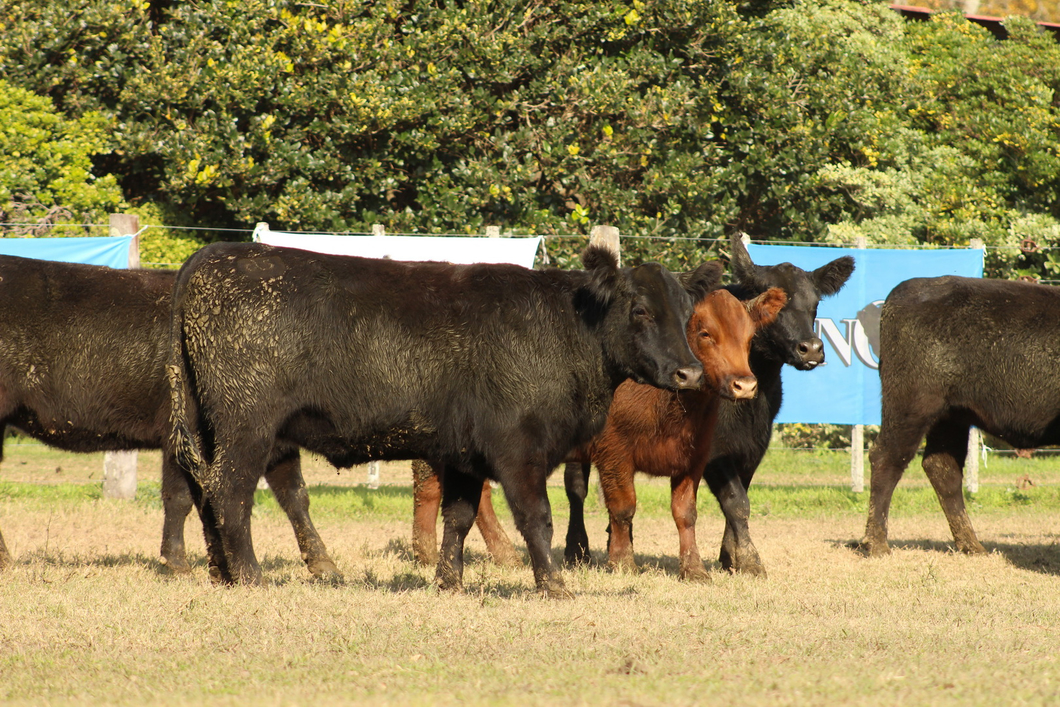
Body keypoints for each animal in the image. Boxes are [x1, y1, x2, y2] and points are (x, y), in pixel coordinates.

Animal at [0, 255, 337, 580]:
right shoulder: (184, 435)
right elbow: (180, 497)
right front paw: (177, 563)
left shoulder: (271, 439)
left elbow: (294, 494)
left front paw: (322, 562)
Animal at [169, 243, 712, 597]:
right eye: (640, 310)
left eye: (688, 312)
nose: (690, 373)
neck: (566, 328)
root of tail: (213, 255)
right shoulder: (519, 447)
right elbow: (536, 517)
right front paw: (555, 585)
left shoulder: (466, 455)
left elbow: (459, 517)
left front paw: (449, 582)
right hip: (247, 426)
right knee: (230, 492)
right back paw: (250, 577)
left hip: (211, 425)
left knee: (205, 490)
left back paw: (221, 573)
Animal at [563, 235, 852, 576]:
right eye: (779, 309)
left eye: (815, 305)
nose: (812, 348)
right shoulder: (714, 453)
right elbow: (736, 502)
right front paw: (750, 559)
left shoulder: (748, 450)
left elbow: (738, 502)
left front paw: (730, 556)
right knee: (576, 489)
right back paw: (576, 549)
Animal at [860, 275, 1060, 559]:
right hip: (911, 406)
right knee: (887, 458)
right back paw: (876, 544)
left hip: (951, 417)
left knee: (942, 468)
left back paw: (972, 546)